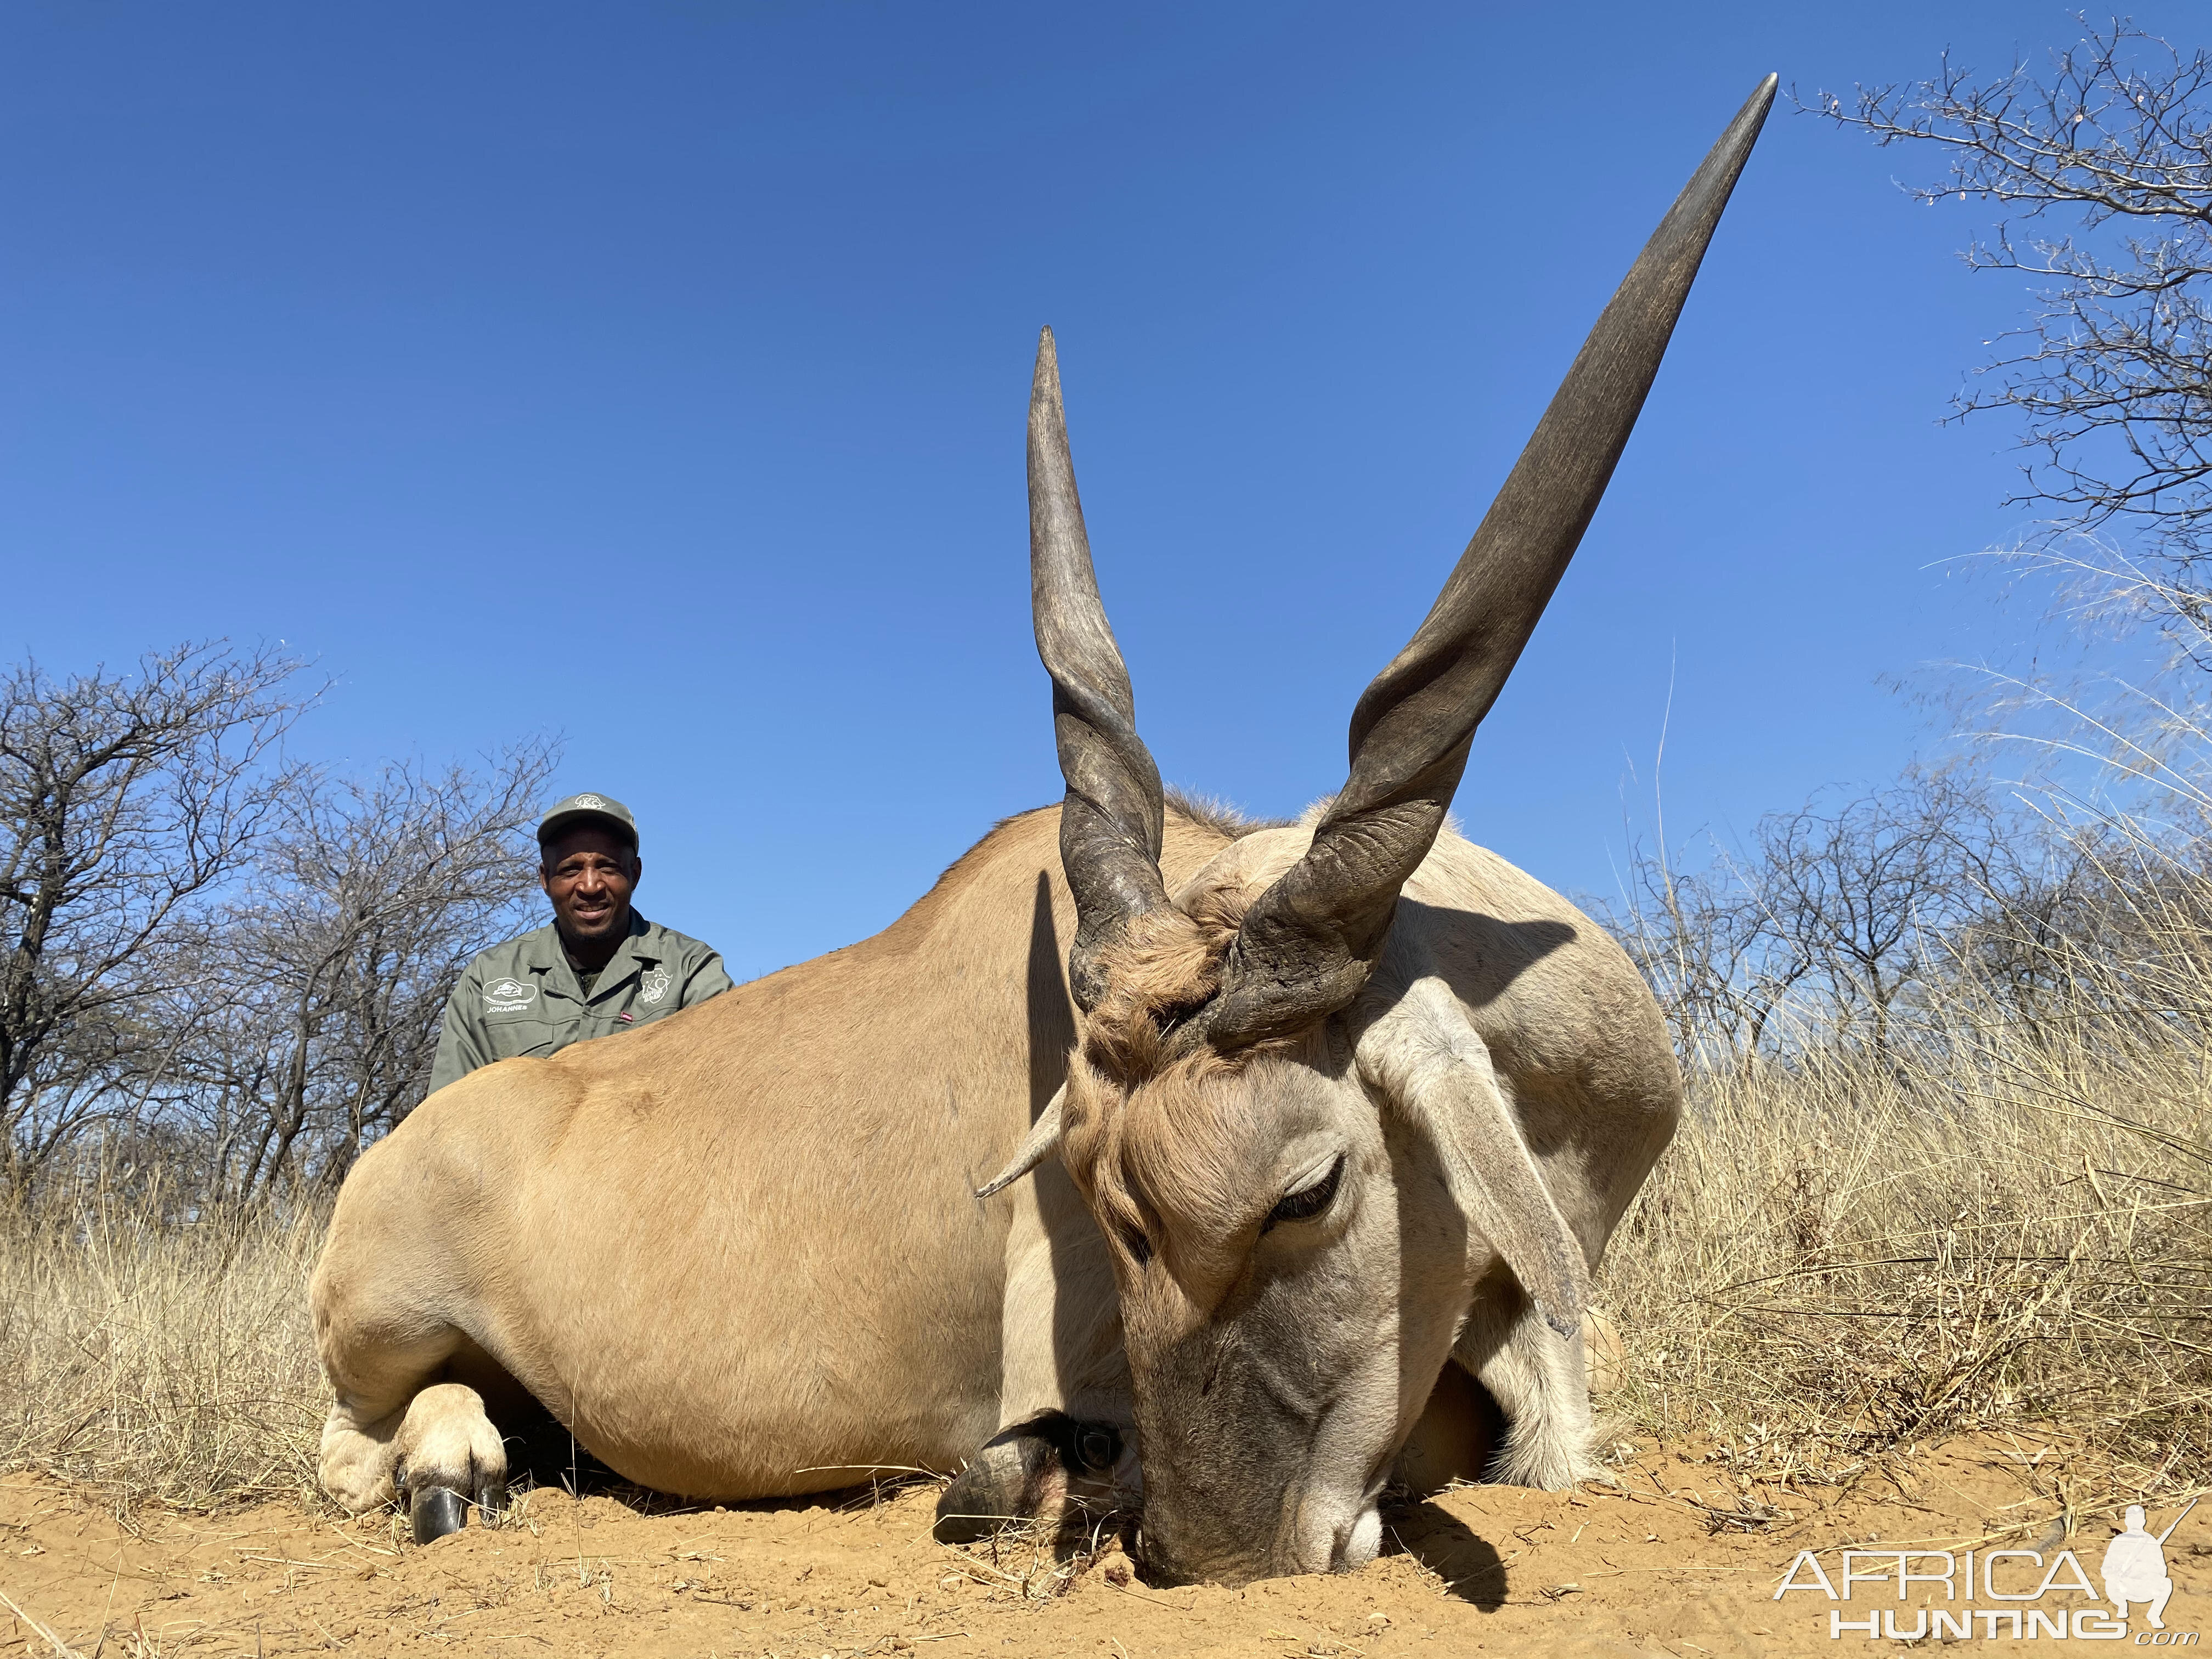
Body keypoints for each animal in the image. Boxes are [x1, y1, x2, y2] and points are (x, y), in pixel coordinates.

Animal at [312, 81, 1769, 1601]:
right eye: (1102, 1204)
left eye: (1308, 1190)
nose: (1219, 1551)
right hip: (375, 1327)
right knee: (354, 1441)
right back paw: (448, 1468)